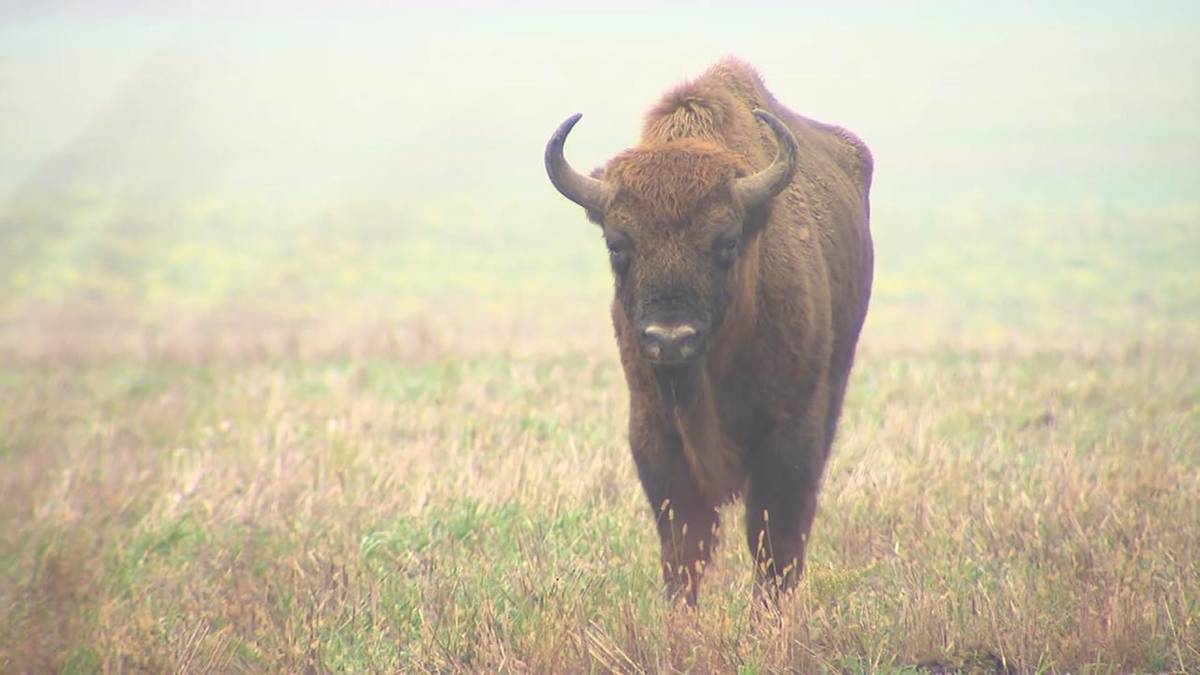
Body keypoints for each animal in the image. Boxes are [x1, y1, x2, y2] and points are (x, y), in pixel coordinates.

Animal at [544, 57, 873, 600]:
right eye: (617, 244)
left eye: (726, 242)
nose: (670, 338)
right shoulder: (655, 435)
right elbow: (684, 549)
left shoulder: (790, 435)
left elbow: (775, 544)